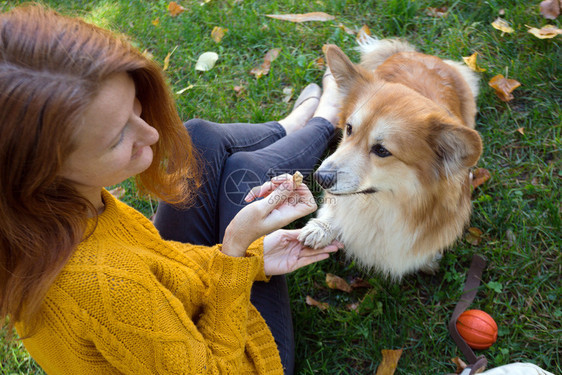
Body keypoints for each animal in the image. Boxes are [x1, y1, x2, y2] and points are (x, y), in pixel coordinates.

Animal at [298, 37, 482, 280]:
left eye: (382, 150)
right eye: (349, 128)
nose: (321, 178)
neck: (385, 206)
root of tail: (414, 54)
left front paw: (428, 260)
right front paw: (322, 227)